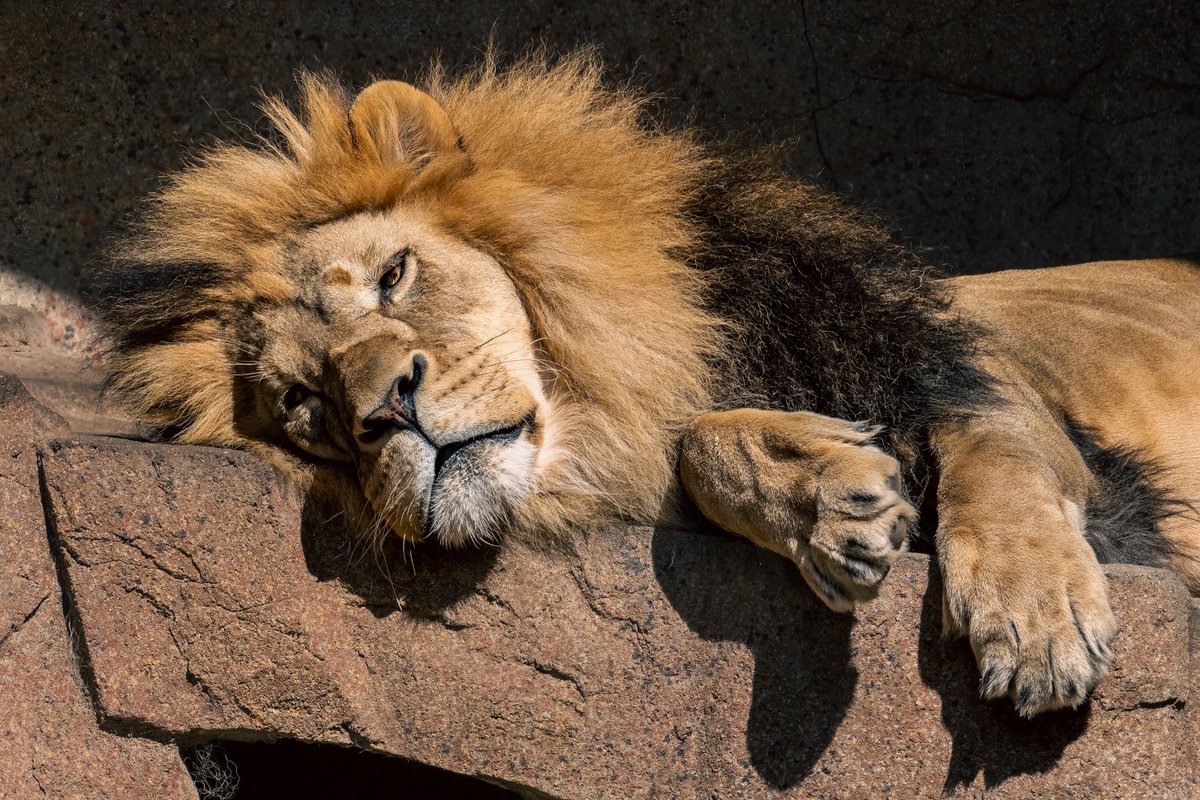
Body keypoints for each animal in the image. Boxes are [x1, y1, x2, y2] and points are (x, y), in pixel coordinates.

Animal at [92, 53, 1200, 719]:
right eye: (304, 406)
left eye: (394, 275)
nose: (385, 409)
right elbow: (703, 442)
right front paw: (830, 498)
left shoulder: (979, 385)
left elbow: (1000, 467)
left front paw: (1032, 617)